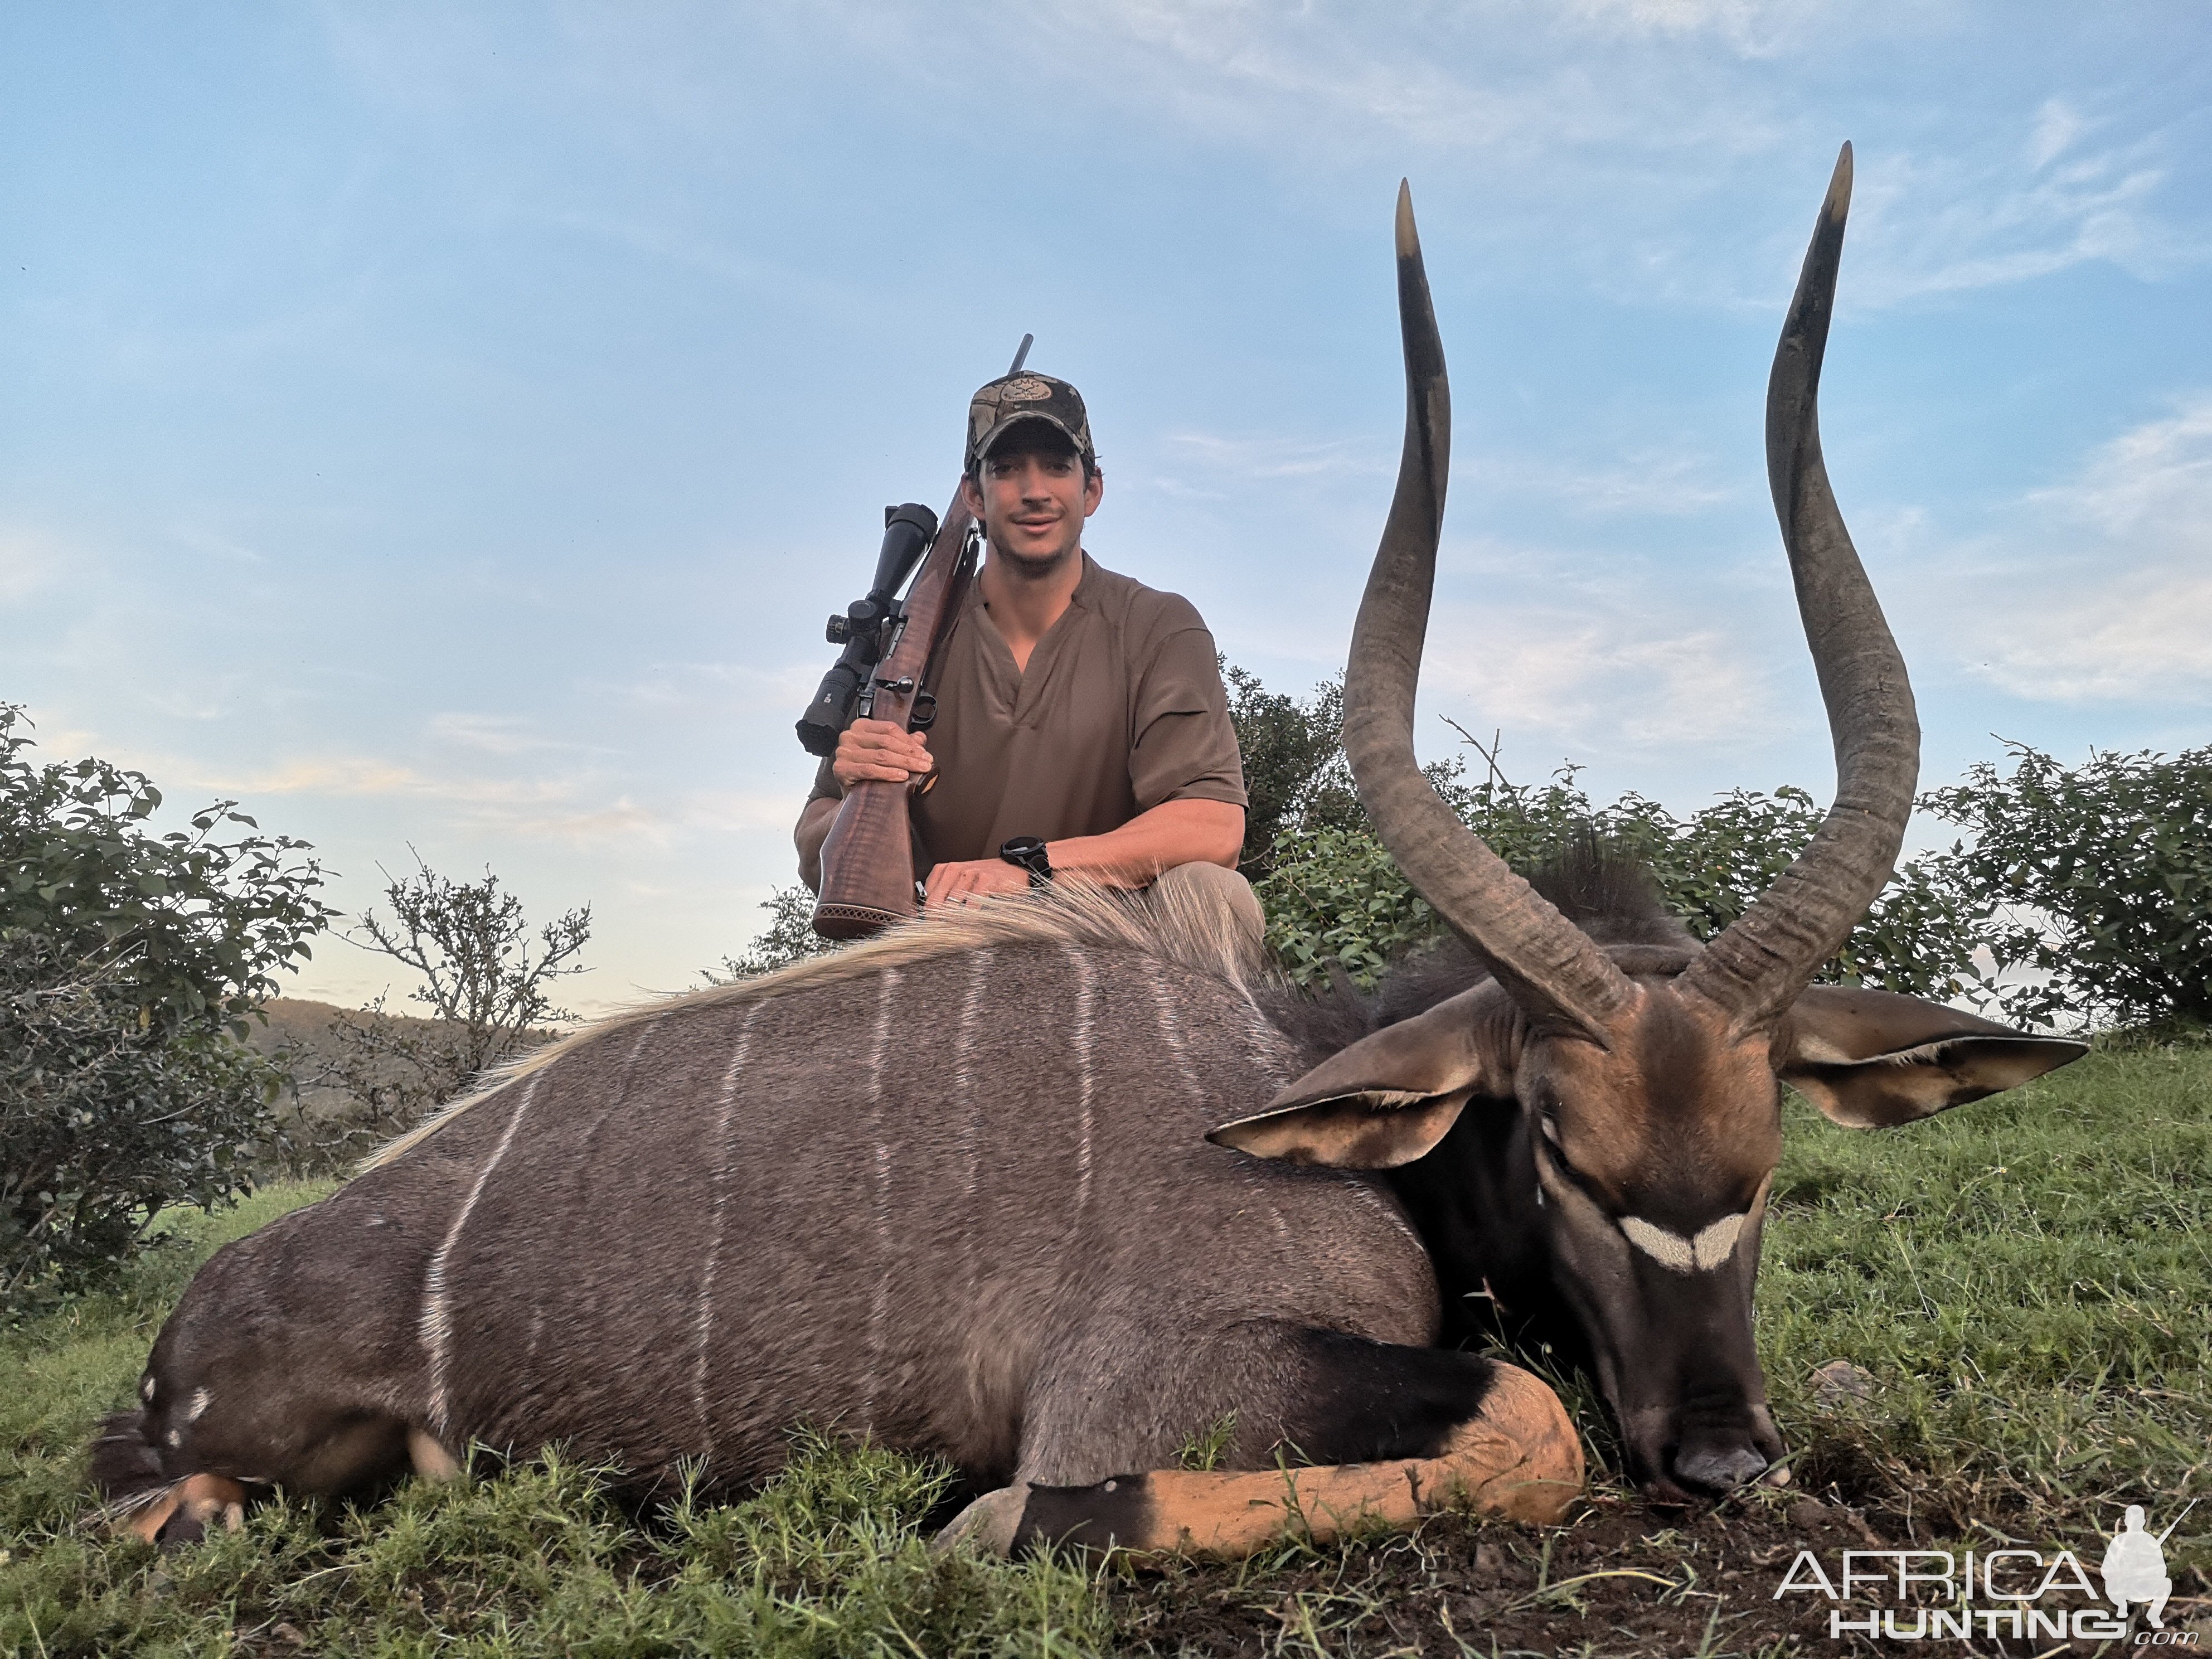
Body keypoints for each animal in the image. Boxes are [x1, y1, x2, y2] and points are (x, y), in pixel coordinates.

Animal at [95, 149, 2079, 1566]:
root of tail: (210, 1300)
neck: (1285, 1082)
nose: (1724, 1455)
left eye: (1766, 1159)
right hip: (221, 1459)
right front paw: (993, 1517)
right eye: (1560, 1152)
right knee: (157, 1504)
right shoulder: (1148, 1378)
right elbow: (1520, 1424)